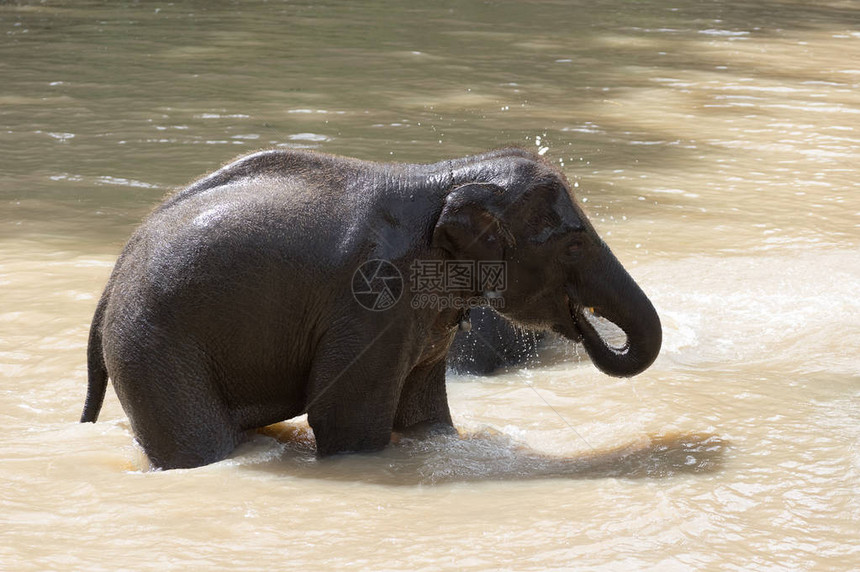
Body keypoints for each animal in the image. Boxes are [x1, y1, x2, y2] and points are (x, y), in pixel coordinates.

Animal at [80, 147, 660, 470]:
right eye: (574, 247)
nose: (585, 323)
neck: (442, 177)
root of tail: (111, 283)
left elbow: (424, 414)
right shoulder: (374, 300)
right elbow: (347, 420)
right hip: (154, 346)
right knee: (201, 446)